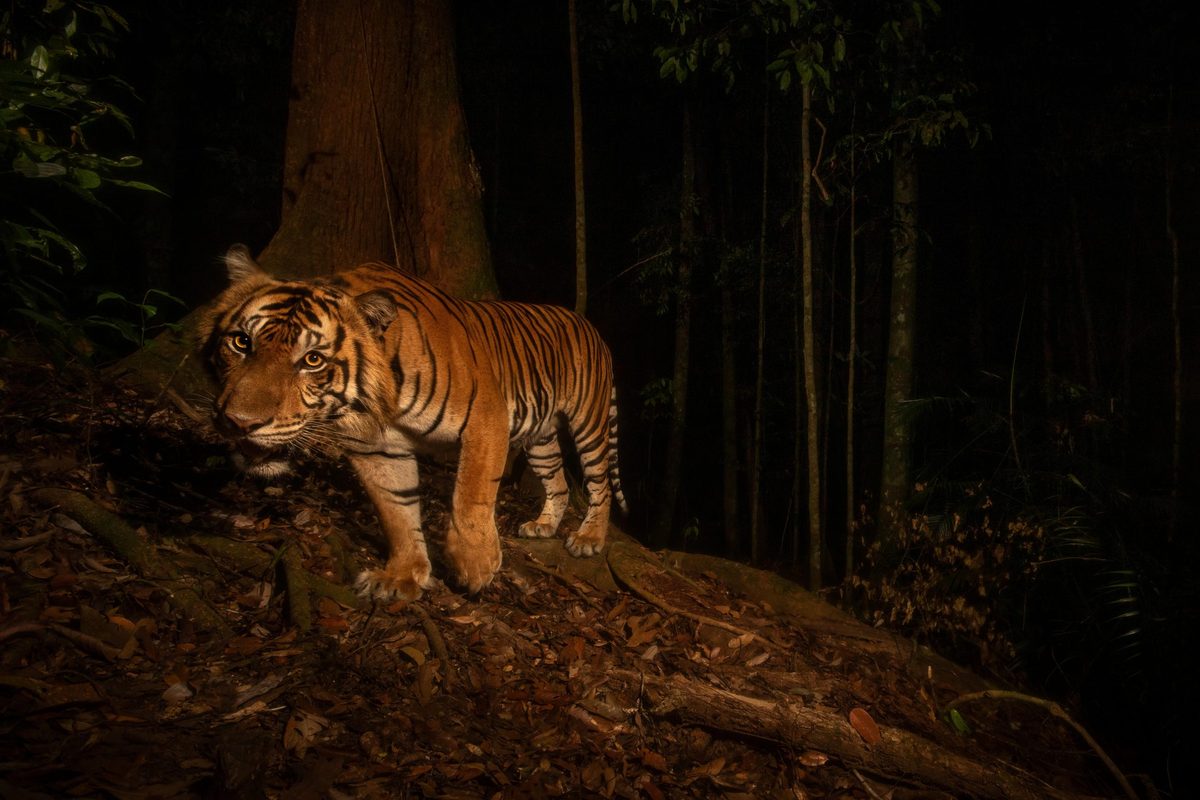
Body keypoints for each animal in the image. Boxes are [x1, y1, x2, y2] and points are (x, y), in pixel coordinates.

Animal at [199, 245, 626, 599]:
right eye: (241, 342)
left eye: (312, 360)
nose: (239, 422)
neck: (376, 401)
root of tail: (590, 326)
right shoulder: (377, 448)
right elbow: (397, 513)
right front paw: (402, 577)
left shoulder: (486, 419)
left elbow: (470, 496)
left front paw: (476, 566)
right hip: (541, 440)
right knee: (558, 483)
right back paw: (544, 526)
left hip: (588, 424)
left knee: (600, 483)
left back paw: (589, 538)